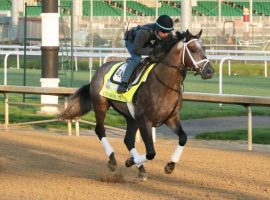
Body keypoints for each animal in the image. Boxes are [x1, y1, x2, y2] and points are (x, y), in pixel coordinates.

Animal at [59, 29, 215, 180]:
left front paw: (170, 165)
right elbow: (151, 152)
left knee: (128, 140)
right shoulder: (145, 121)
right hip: (100, 105)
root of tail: (98, 71)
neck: (164, 84)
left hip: (131, 118)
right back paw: (112, 160)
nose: (209, 71)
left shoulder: (171, 118)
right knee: (100, 130)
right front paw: (130, 161)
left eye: (204, 48)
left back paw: (141, 169)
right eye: (193, 49)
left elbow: (183, 138)